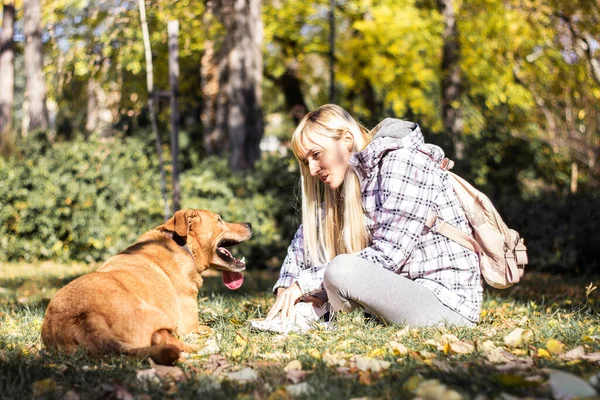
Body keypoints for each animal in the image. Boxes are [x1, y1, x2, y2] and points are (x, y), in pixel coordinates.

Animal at [39, 209, 251, 366]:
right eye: (219, 219)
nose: (249, 224)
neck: (181, 245)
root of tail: (85, 319)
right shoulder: (190, 327)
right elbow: (212, 326)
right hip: (156, 316)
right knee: (170, 342)